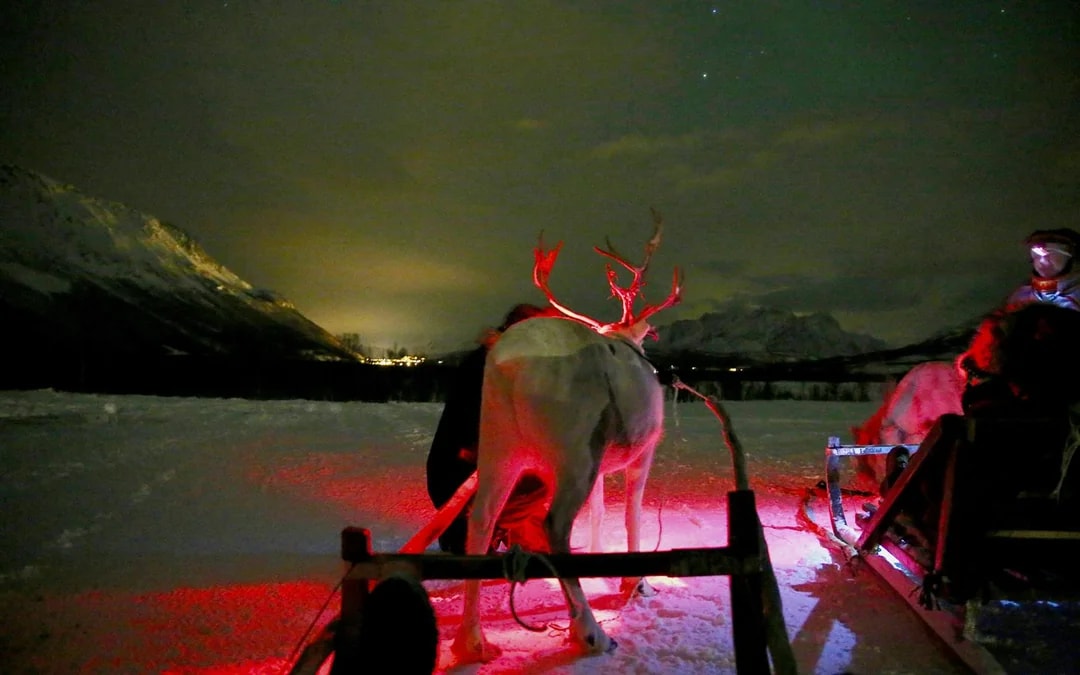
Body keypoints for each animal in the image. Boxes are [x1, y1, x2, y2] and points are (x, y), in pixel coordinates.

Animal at [452, 210, 682, 664]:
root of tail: (508, 367)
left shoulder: (604, 462)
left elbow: (598, 512)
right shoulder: (643, 450)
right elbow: (632, 513)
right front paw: (638, 583)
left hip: (501, 445)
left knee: (481, 516)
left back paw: (472, 640)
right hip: (574, 453)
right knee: (553, 525)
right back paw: (590, 632)